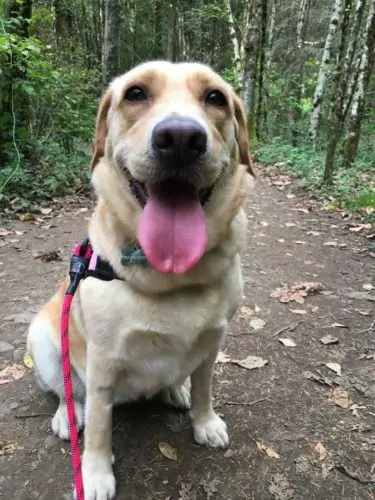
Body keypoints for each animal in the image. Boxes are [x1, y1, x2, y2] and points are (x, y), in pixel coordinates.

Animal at [27, 60, 254, 498]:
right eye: (135, 93)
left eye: (215, 97)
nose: (180, 138)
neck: (172, 278)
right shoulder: (101, 360)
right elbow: (99, 427)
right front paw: (96, 475)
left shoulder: (214, 340)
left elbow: (204, 387)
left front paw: (205, 422)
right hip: (44, 339)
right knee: (66, 390)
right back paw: (68, 416)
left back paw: (174, 390)